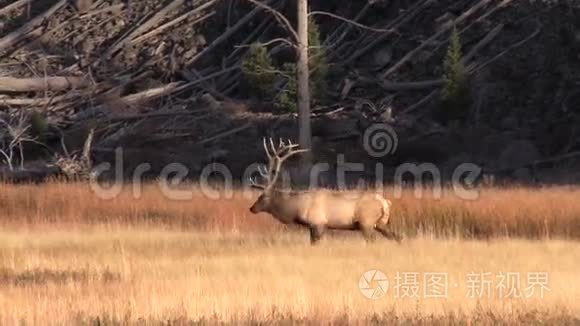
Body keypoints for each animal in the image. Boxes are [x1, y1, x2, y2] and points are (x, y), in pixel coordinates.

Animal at [249, 138, 404, 244]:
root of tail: (385, 202)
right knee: (397, 237)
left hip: (367, 222)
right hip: (381, 223)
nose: (251, 208)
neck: (298, 207)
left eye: (262, 197)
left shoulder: (318, 223)